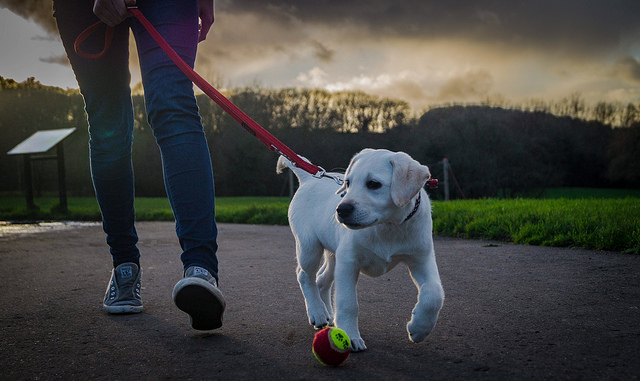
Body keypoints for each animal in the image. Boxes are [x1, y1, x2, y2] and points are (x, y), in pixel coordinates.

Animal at [278, 148, 442, 350]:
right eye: (348, 183)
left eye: (373, 184)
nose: (341, 210)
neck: (388, 226)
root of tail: (309, 179)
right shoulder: (349, 262)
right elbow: (348, 303)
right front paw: (350, 335)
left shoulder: (422, 259)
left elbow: (434, 294)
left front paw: (419, 329)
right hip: (310, 247)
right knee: (304, 276)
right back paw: (317, 312)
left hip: (334, 255)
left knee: (321, 280)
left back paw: (327, 315)